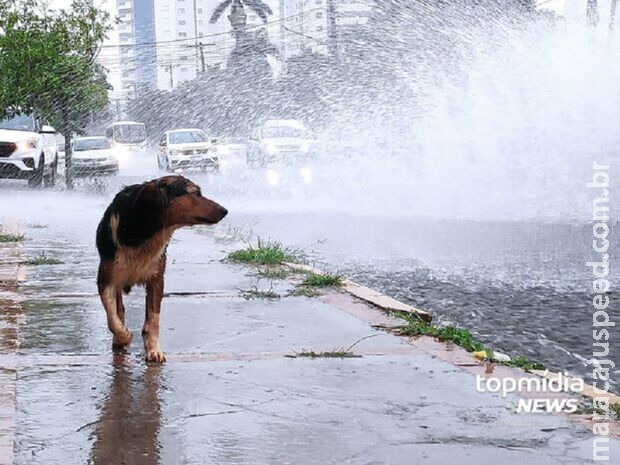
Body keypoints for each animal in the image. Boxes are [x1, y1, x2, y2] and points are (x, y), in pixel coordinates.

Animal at [98, 176, 229, 360]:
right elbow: (112, 319)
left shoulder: (157, 279)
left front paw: (154, 350)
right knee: (119, 309)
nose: (225, 211)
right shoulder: (106, 280)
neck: (145, 232)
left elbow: (153, 319)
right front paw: (124, 336)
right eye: (196, 193)